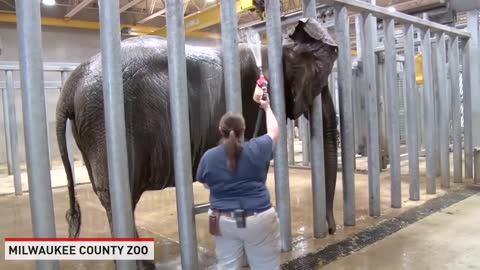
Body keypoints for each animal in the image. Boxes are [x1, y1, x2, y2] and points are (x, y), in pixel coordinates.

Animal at [56, 17, 338, 268]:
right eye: (320, 80)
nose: (332, 230)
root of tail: (72, 83)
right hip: (105, 121)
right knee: (118, 196)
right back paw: (141, 264)